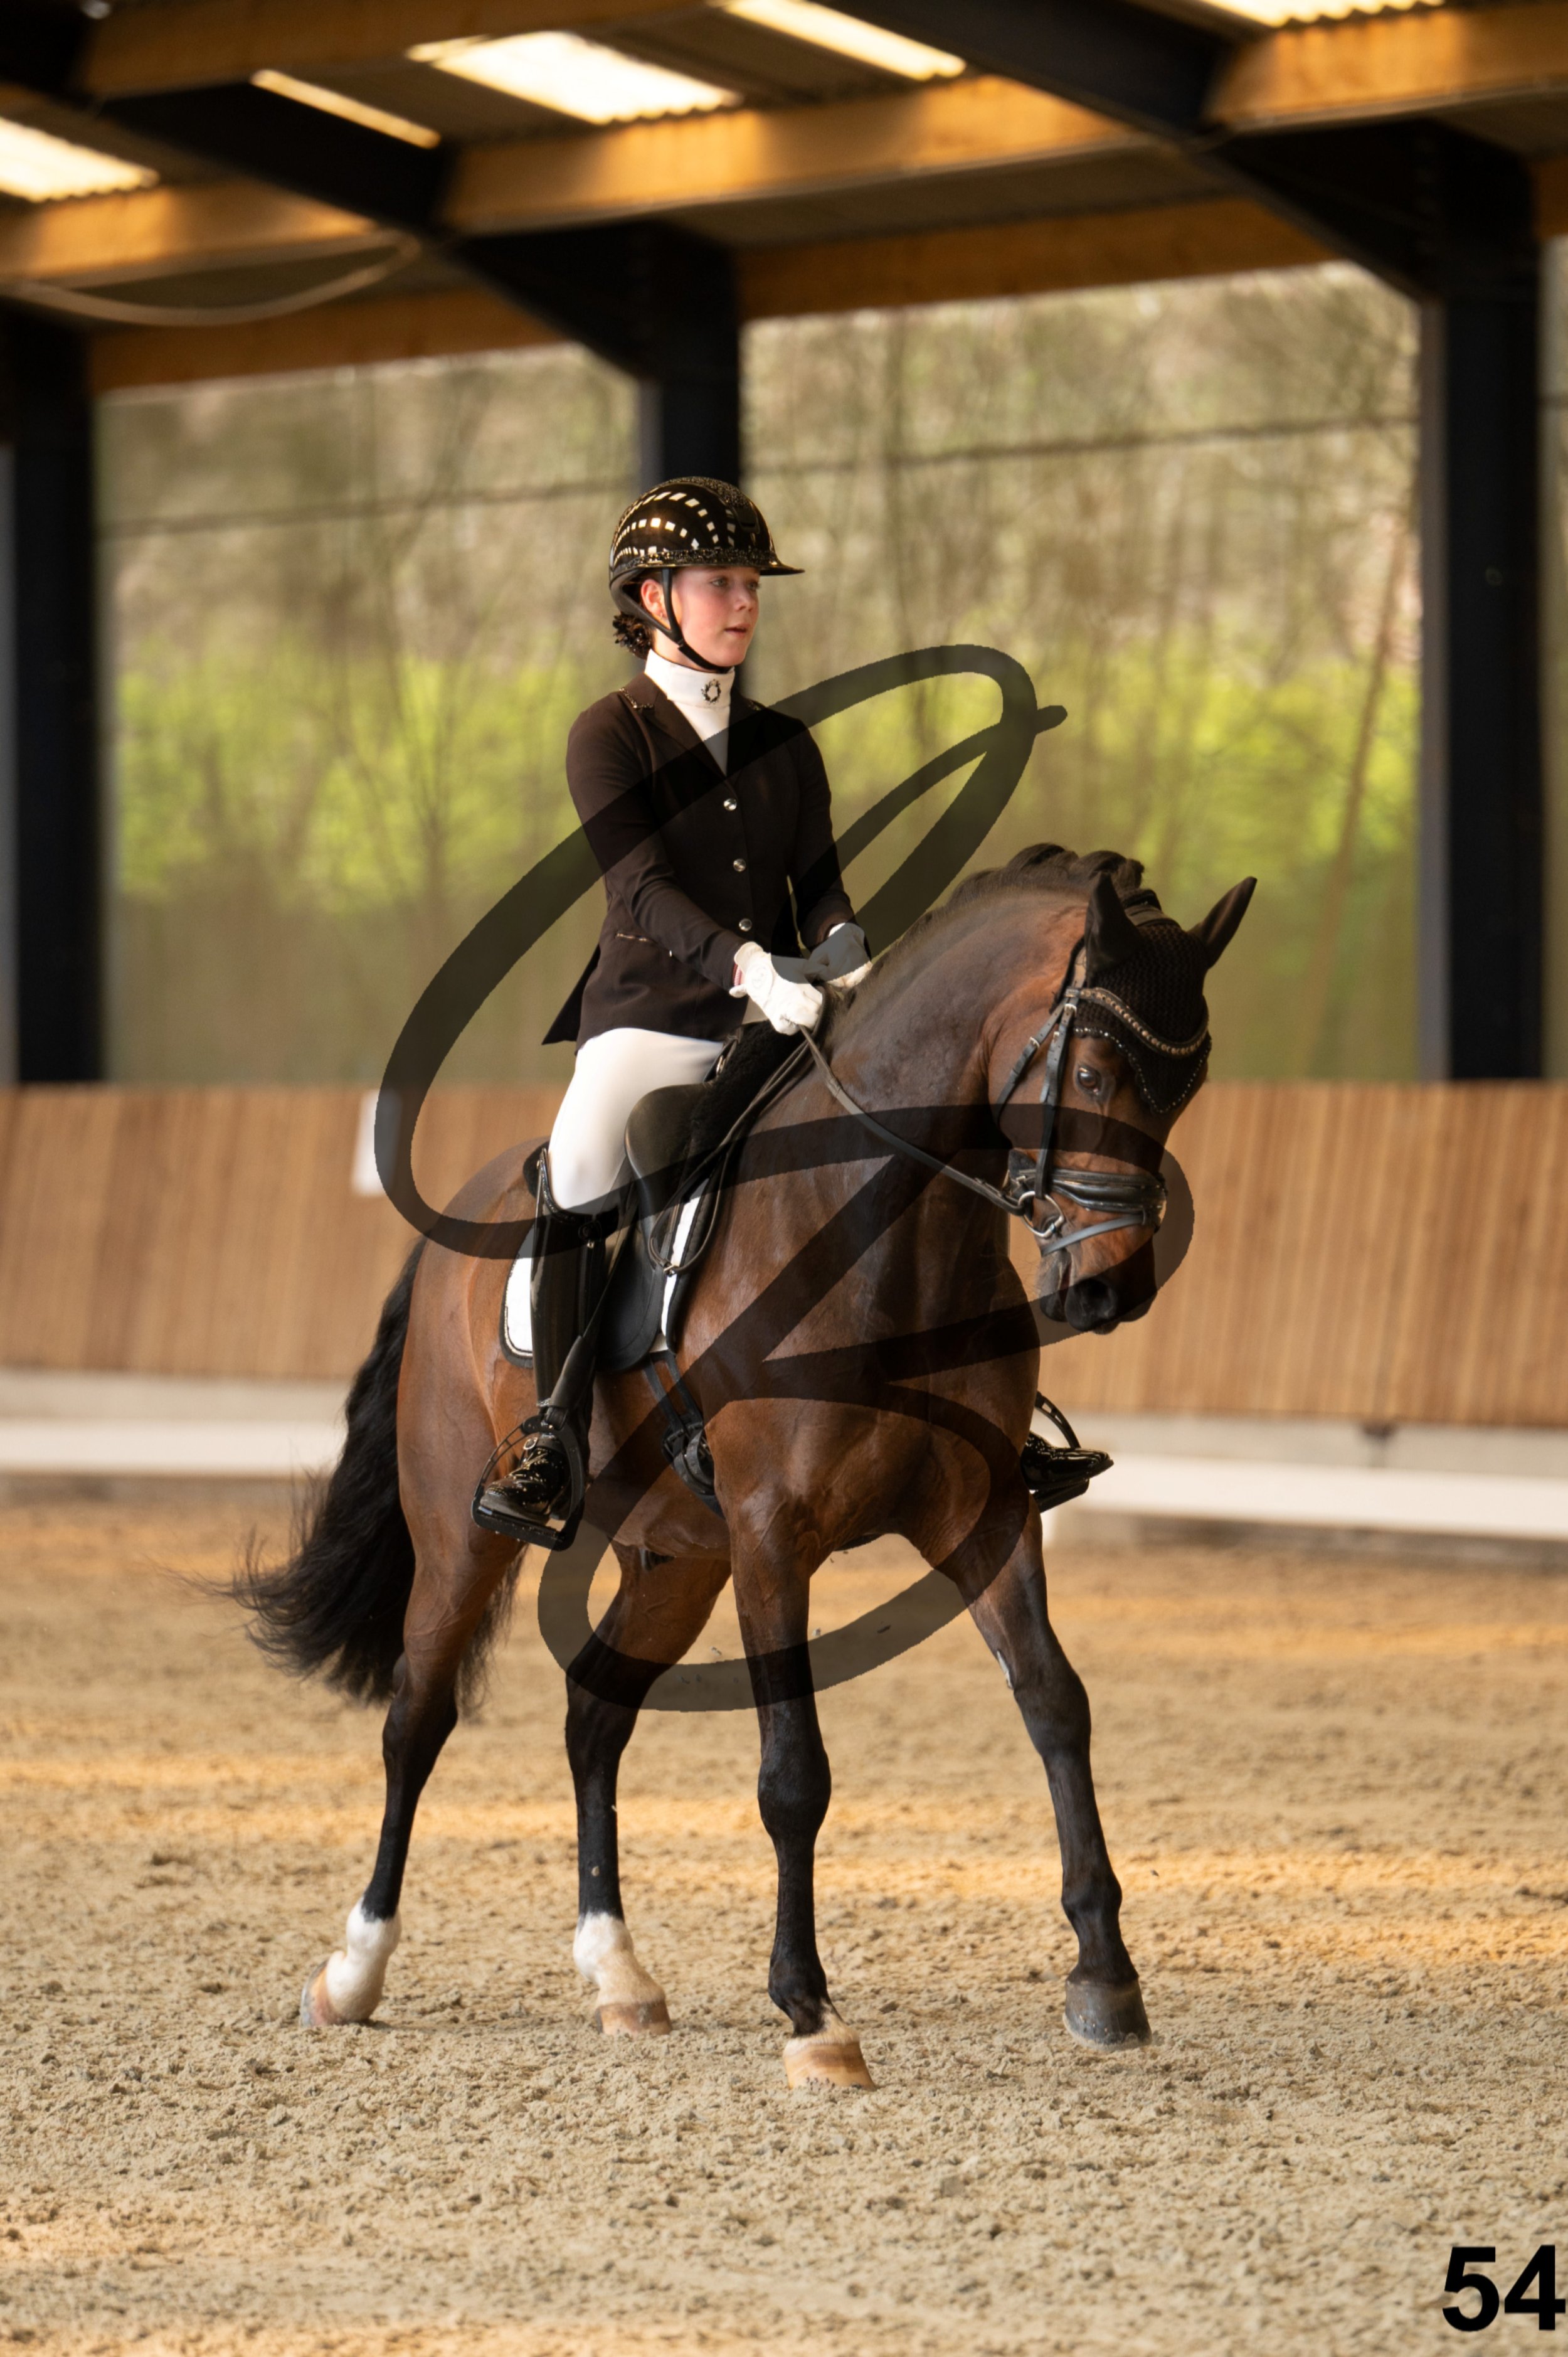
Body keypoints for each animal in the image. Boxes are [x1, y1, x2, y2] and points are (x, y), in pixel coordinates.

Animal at [239, 844, 1253, 2089]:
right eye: (1101, 1068)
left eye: (1186, 1086)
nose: (1112, 1291)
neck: (885, 1227)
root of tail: (461, 1224)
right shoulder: (777, 1533)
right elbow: (793, 1772)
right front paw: (812, 2012)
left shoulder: (984, 1512)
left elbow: (1057, 1705)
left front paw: (1106, 1979)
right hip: (464, 1531)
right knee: (416, 1720)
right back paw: (354, 1971)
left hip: (679, 1558)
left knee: (594, 1713)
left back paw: (619, 1975)